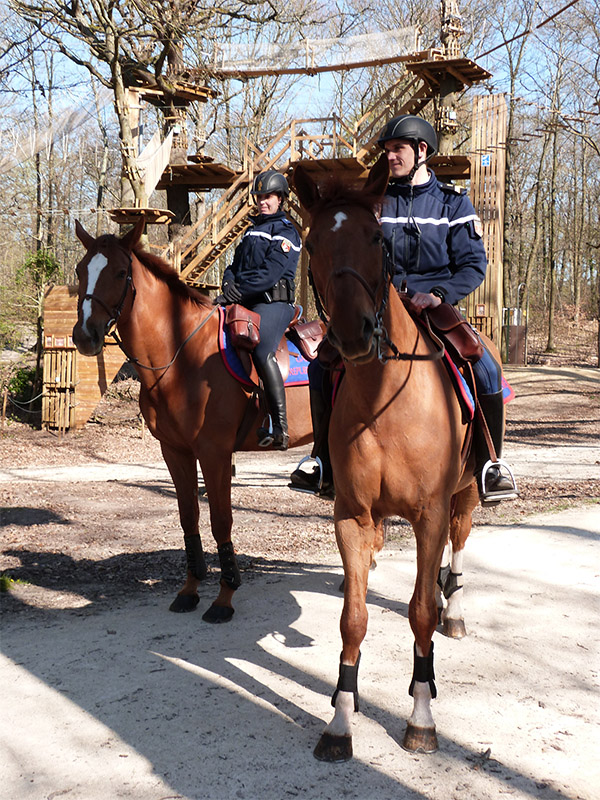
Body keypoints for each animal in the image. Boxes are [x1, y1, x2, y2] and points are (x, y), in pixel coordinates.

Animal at [72, 220, 312, 624]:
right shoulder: (175, 452)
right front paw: (190, 589)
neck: (181, 357)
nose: (84, 335)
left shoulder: (214, 454)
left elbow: (220, 520)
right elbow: (189, 518)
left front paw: (224, 597)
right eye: (79, 270)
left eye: (120, 272)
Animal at [292, 158, 480, 764]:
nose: (354, 334)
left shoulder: (430, 514)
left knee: (458, 549)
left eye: (377, 238)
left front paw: (421, 716)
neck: (384, 401)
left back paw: (455, 610)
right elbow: (353, 619)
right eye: (312, 243)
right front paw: (340, 720)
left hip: (467, 495)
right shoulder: (352, 515)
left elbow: (420, 612)